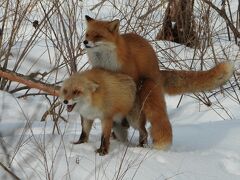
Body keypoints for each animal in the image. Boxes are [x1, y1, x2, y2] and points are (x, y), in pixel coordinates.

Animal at [83, 15, 234, 150]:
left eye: (97, 36)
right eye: (87, 34)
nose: (85, 42)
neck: (106, 62)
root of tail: (158, 71)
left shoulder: (129, 77)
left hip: (146, 90)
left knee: (145, 127)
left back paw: (141, 145)